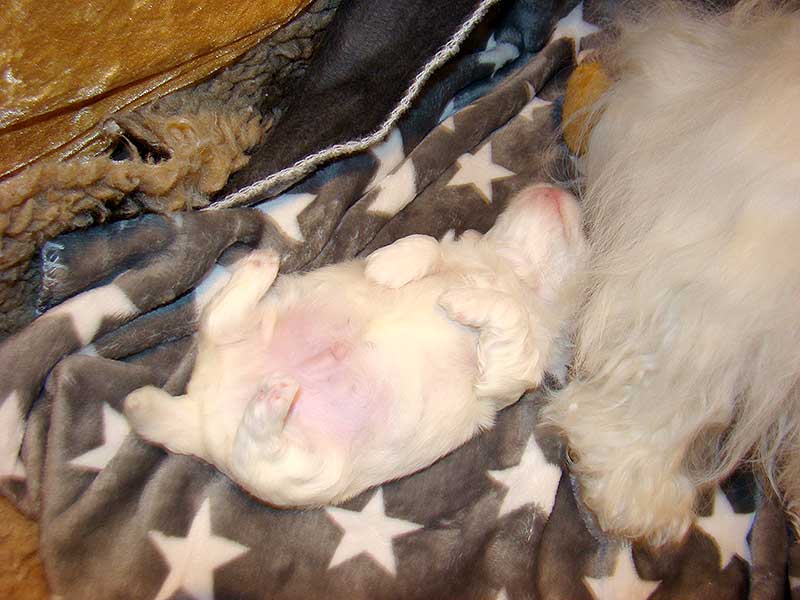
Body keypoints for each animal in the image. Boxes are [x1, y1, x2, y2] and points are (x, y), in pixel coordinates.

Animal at [124, 184, 586, 507]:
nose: (556, 187)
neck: (509, 273)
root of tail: (200, 416)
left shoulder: (513, 372)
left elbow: (511, 318)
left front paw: (463, 300)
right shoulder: (458, 250)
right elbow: (430, 243)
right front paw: (390, 266)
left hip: (305, 473)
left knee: (259, 451)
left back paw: (271, 399)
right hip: (264, 320)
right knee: (217, 322)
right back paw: (259, 268)